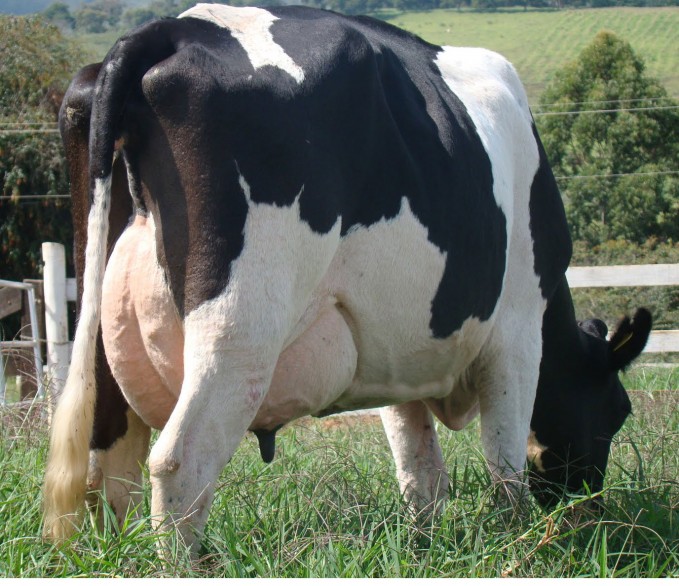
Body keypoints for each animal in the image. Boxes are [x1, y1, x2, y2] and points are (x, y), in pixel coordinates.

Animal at [43, 4, 652, 555]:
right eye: (618, 410)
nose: (590, 510)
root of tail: (169, 30)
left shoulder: (396, 353)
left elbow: (420, 467)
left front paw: (425, 547)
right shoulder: (518, 332)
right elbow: (504, 464)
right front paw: (521, 543)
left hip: (102, 330)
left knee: (107, 464)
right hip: (239, 327)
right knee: (178, 462)